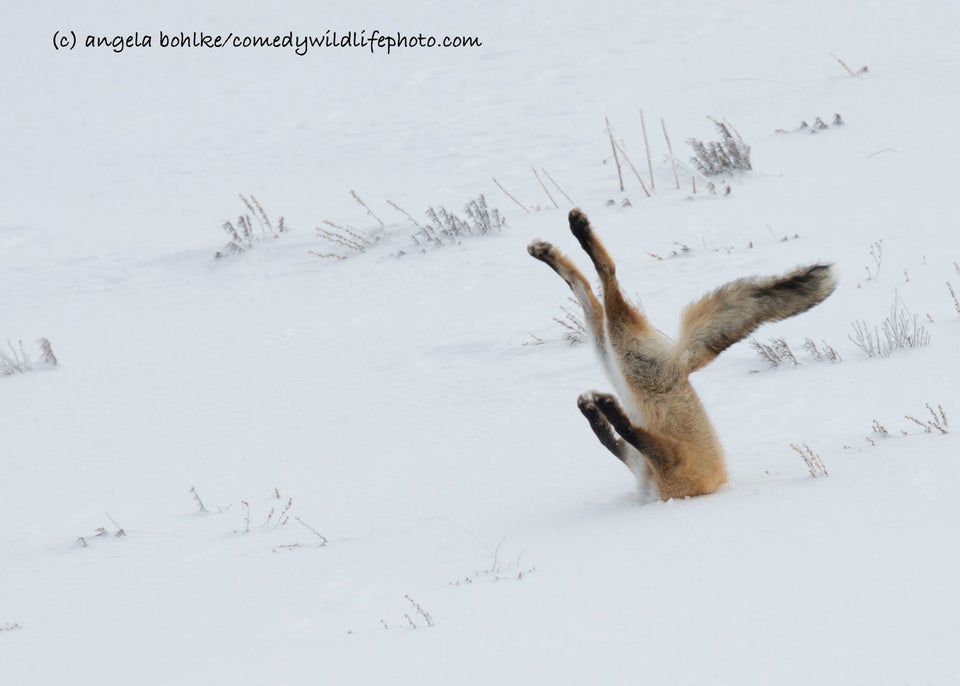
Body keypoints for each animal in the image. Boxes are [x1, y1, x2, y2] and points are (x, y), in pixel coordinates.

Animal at [528, 208, 836, 500]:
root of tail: (683, 362)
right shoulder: (641, 461)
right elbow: (609, 437)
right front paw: (594, 409)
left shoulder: (669, 463)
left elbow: (624, 432)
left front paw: (604, 408)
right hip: (613, 354)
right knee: (585, 287)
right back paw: (548, 251)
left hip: (625, 355)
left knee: (607, 275)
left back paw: (578, 231)